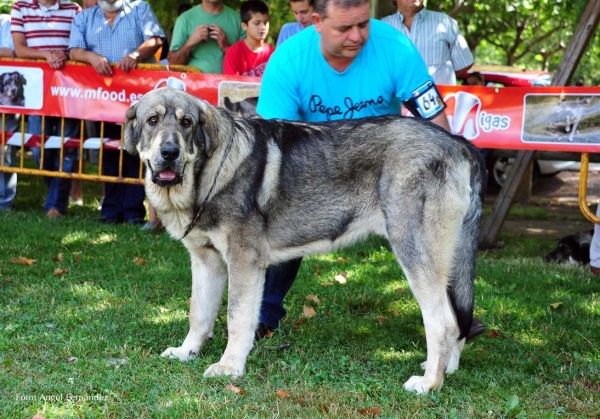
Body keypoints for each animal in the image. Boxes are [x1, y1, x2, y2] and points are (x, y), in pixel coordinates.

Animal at [124, 88, 486, 394]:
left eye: (186, 122)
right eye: (152, 120)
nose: (169, 153)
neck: (207, 173)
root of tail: (460, 144)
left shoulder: (243, 263)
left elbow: (236, 318)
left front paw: (229, 367)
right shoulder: (206, 262)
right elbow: (198, 314)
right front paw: (187, 351)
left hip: (415, 255)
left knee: (442, 322)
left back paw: (429, 384)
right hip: (443, 263)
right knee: (457, 320)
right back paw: (446, 369)